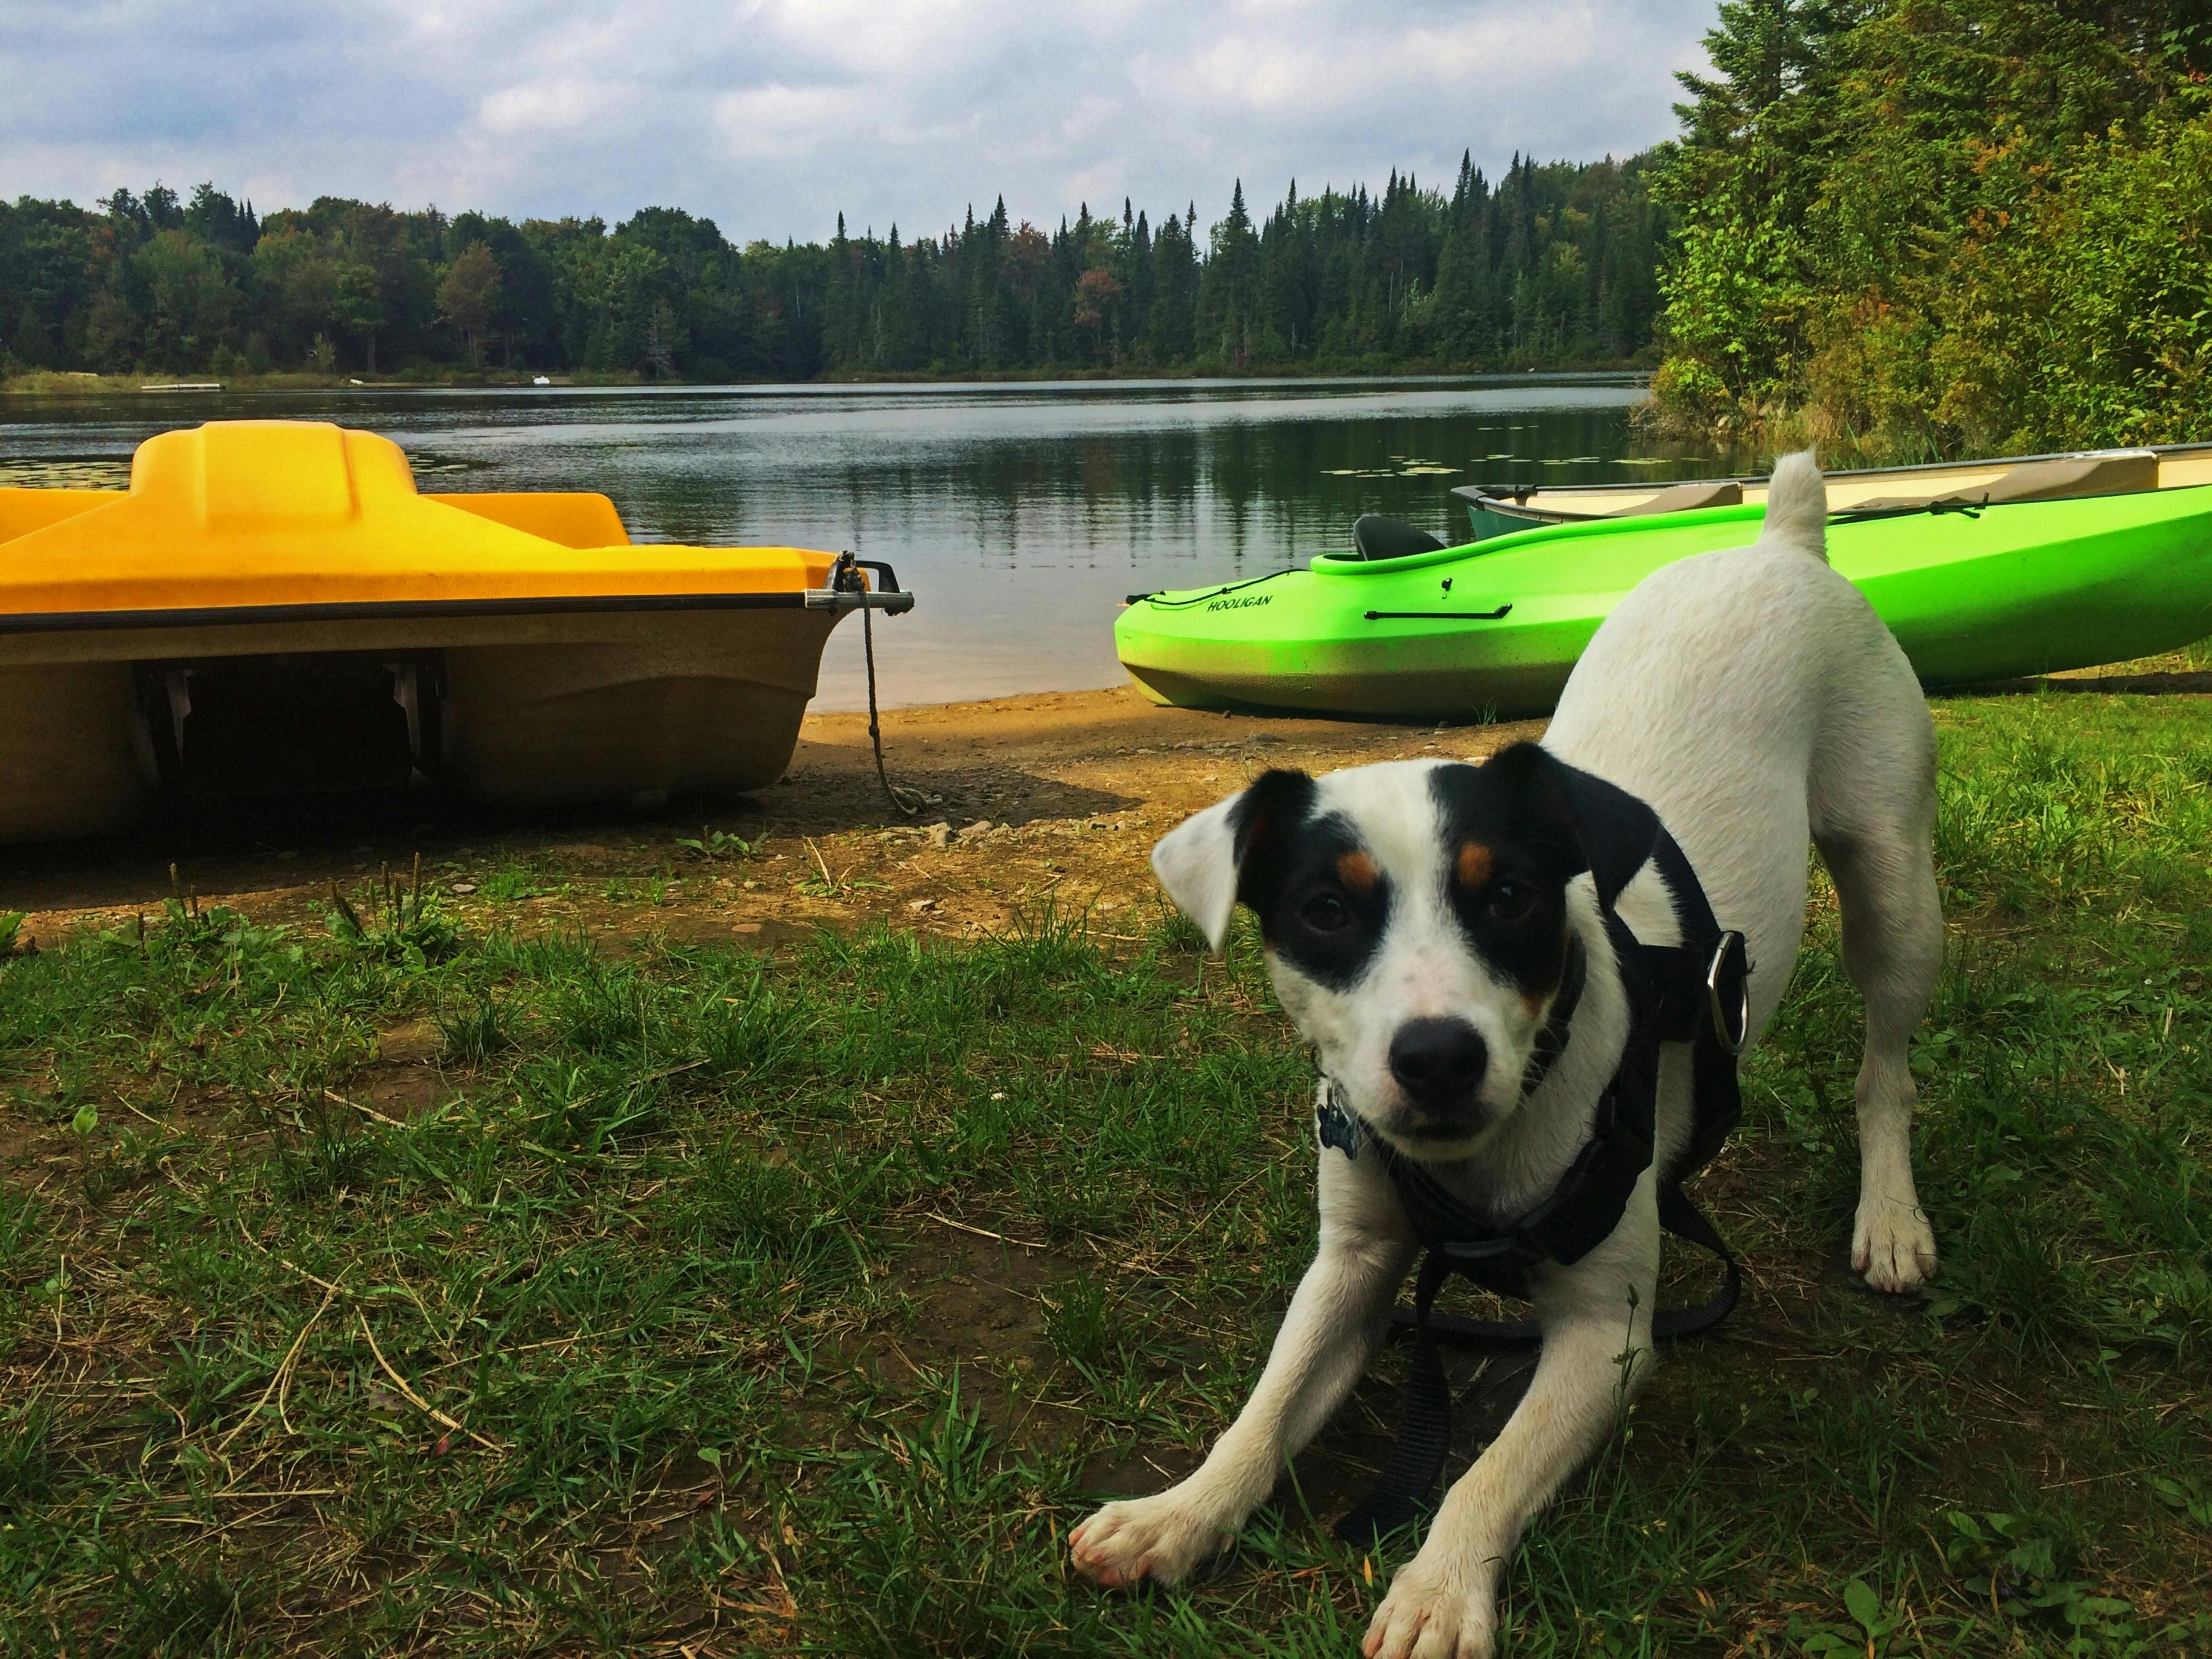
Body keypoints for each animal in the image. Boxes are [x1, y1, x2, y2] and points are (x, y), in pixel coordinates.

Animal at [1066, 456, 1938, 1659]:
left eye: (1513, 895)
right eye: (1323, 910)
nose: (1436, 1058)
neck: (1480, 1163)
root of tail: (1779, 544)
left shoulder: (1606, 1336)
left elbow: (1491, 1472)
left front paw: (1437, 1590)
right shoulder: (1353, 1262)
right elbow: (1266, 1406)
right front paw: (1180, 1512)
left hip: (1892, 880)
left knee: (1884, 1070)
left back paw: (1891, 1217)